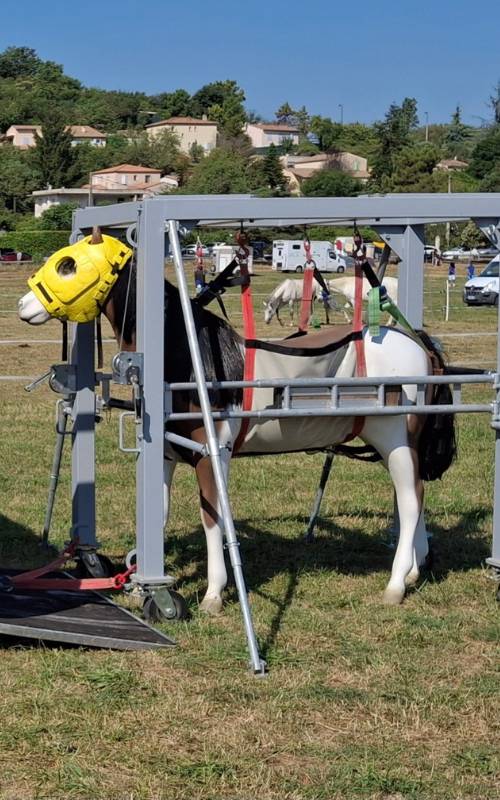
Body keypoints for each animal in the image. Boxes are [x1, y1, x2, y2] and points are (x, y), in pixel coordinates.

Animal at [18, 231, 456, 614]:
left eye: (68, 265)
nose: (24, 305)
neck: (193, 359)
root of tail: (417, 341)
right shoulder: (166, 455)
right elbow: (159, 512)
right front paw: (140, 580)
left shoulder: (212, 456)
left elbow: (213, 520)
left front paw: (212, 595)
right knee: (413, 495)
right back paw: (415, 570)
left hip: (395, 437)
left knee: (411, 499)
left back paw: (396, 584)